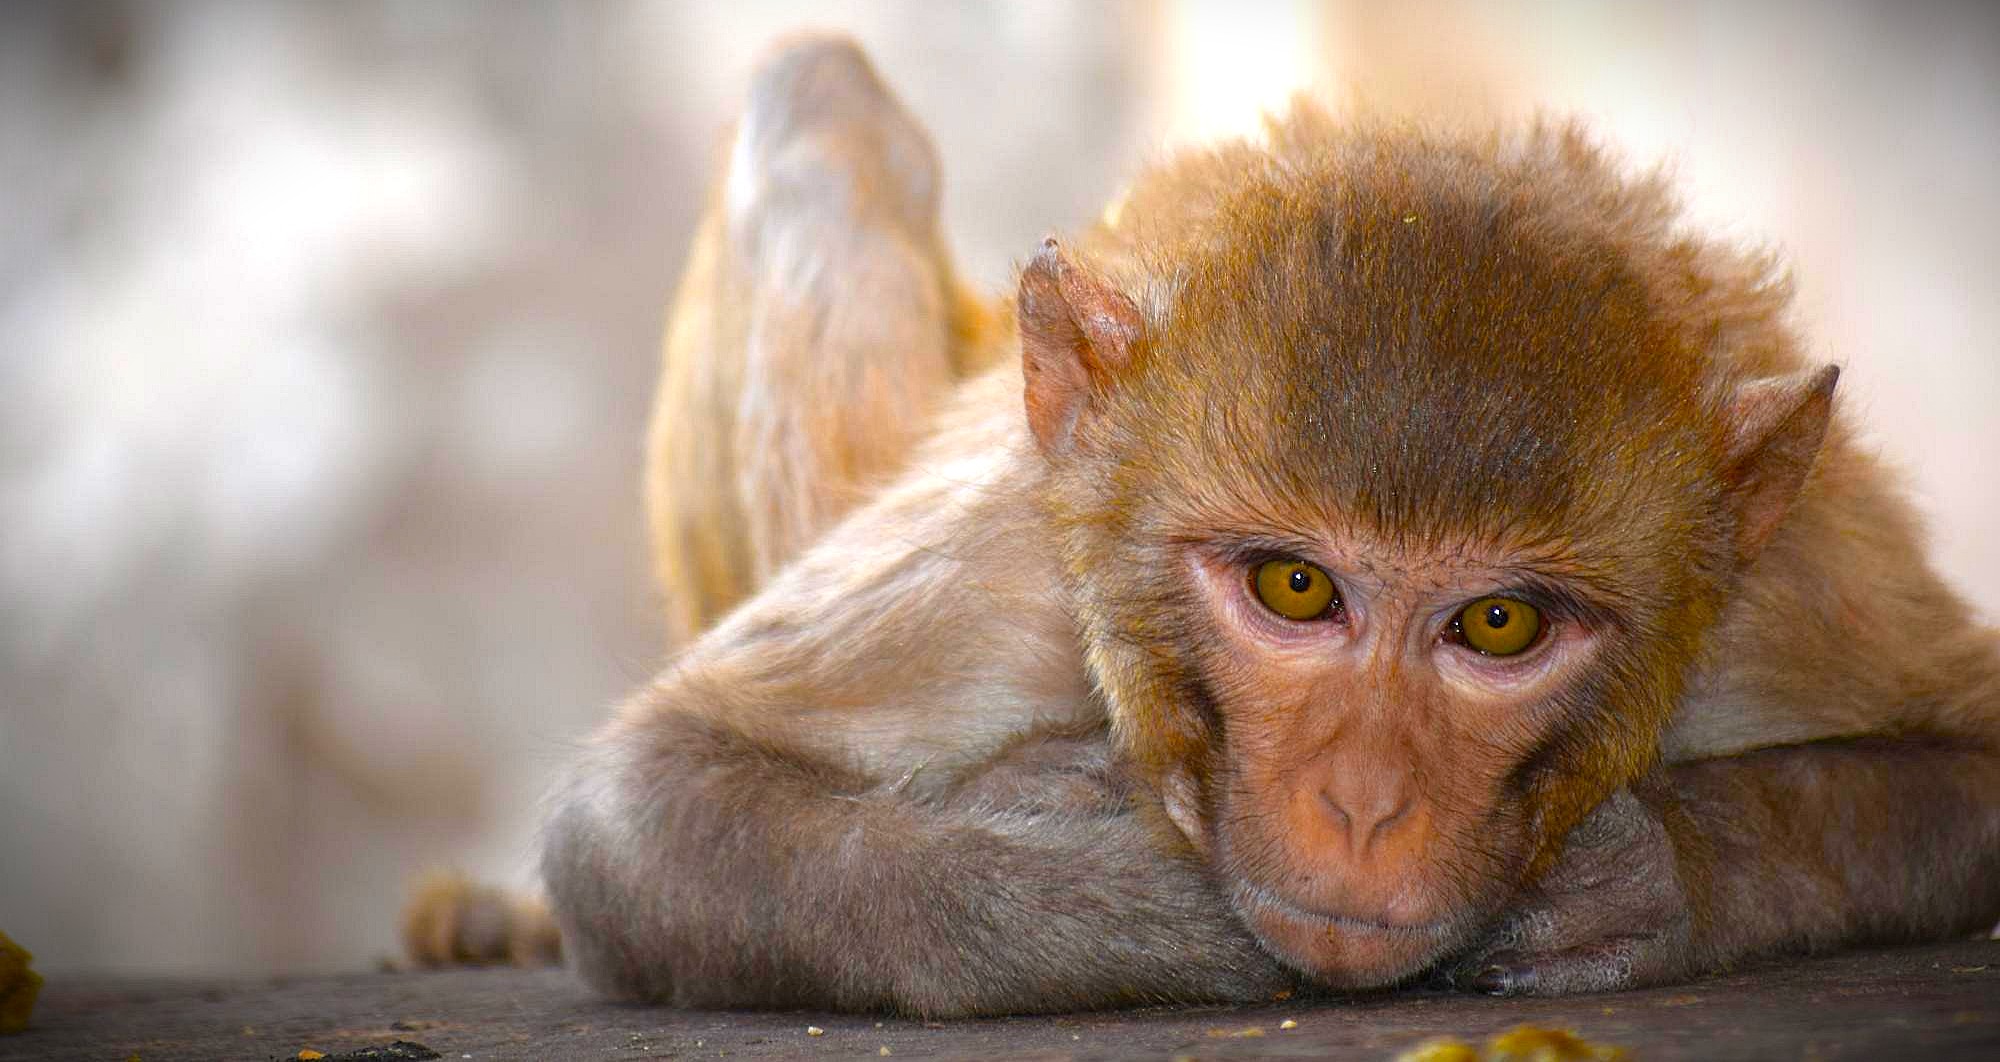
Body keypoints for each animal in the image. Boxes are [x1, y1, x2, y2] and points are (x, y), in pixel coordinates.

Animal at [535, 36, 2000, 1014]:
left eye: (1498, 623)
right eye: (1296, 588)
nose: (1361, 804)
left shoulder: (1789, 593)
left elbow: (1972, 771)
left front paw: (1650, 875)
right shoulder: (1009, 576)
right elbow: (638, 812)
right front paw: (1118, 894)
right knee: (818, 88)